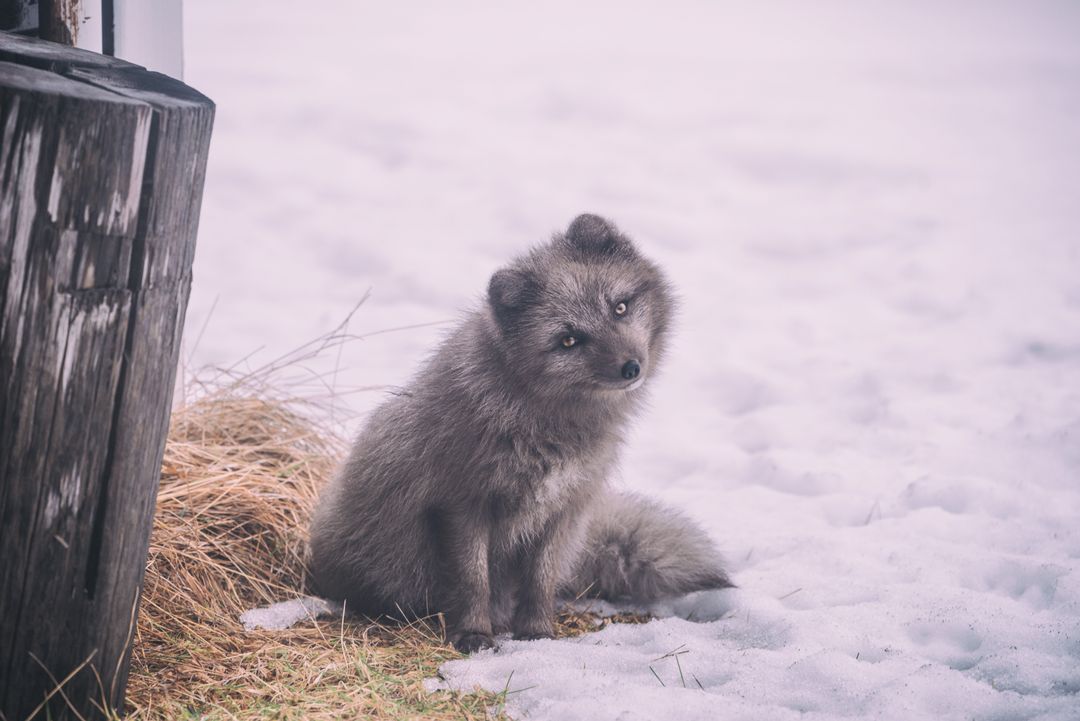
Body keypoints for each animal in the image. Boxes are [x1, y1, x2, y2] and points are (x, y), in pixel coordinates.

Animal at [308, 213, 732, 652]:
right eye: (568, 340)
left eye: (620, 307)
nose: (631, 368)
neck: (546, 427)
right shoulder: (463, 505)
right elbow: (472, 580)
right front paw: (474, 634)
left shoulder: (562, 509)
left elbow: (540, 581)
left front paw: (537, 633)